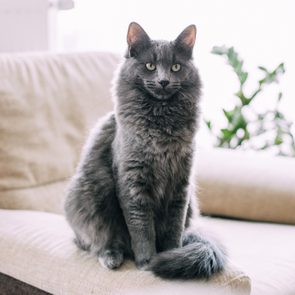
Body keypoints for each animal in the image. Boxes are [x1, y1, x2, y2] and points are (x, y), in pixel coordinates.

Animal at [65, 22, 227, 280]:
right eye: (150, 65)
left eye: (175, 67)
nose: (163, 81)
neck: (161, 125)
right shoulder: (133, 183)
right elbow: (141, 229)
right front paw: (147, 262)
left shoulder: (181, 186)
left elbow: (173, 228)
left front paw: (170, 255)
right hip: (86, 198)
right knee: (98, 240)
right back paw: (111, 257)